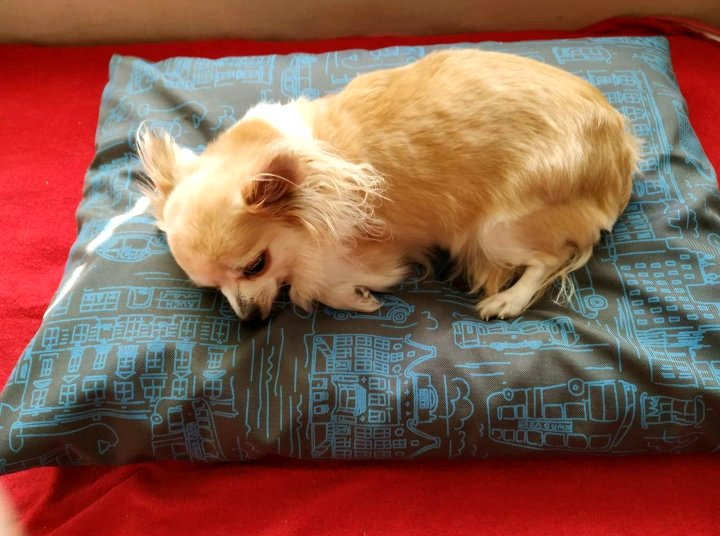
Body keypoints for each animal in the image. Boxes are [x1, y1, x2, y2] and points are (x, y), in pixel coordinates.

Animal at [137, 49, 638, 322]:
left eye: (255, 265)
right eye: (210, 288)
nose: (250, 320)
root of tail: (622, 147)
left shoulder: (370, 253)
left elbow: (313, 286)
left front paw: (355, 297)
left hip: (495, 229)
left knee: (548, 258)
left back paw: (508, 300)